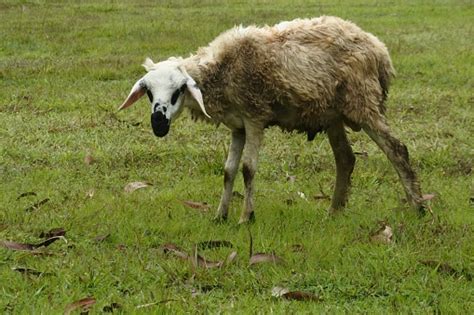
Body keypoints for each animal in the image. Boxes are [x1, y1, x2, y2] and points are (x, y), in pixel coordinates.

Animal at [118, 16, 426, 225]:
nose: (158, 125)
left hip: (363, 102)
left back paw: (419, 208)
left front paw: (246, 217)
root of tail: (379, 49)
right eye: (148, 92)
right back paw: (334, 211)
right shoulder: (238, 126)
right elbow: (228, 170)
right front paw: (220, 215)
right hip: (332, 113)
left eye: (179, 90)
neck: (222, 71)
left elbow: (248, 169)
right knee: (345, 158)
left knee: (397, 150)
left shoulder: (255, 116)